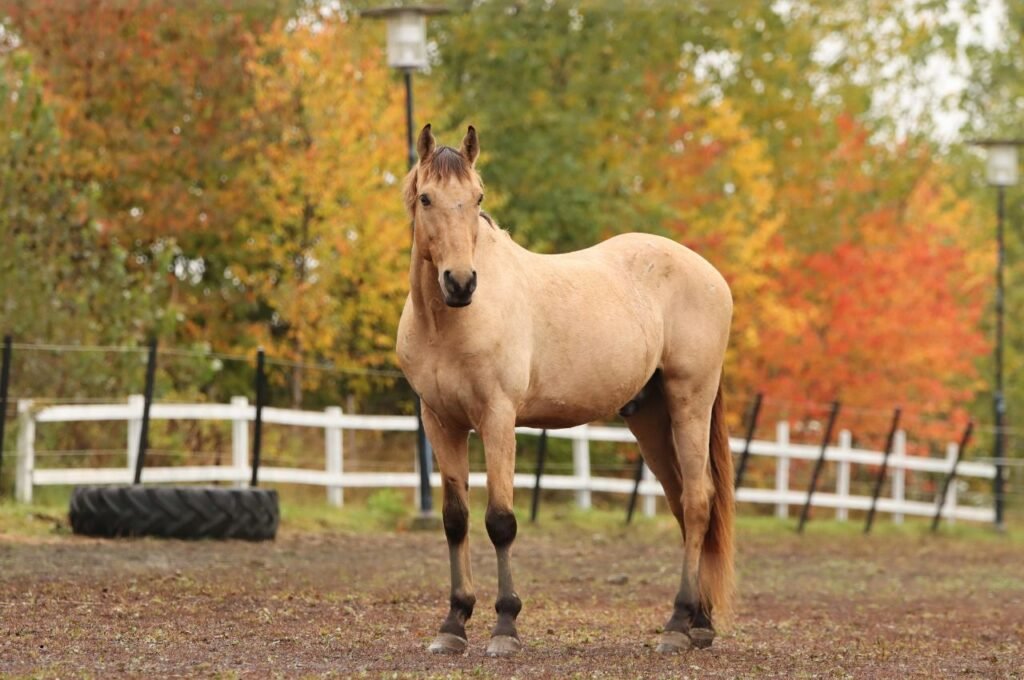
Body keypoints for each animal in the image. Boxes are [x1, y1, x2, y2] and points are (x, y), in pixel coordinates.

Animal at [396, 124, 735, 657]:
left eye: (478, 197)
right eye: (426, 197)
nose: (461, 282)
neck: (447, 323)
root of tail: (711, 275)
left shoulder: (498, 418)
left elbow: (500, 520)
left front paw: (505, 627)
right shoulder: (440, 421)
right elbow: (455, 519)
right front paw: (453, 624)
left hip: (690, 403)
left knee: (698, 502)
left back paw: (678, 625)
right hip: (650, 418)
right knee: (683, 503)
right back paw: (699, 623)